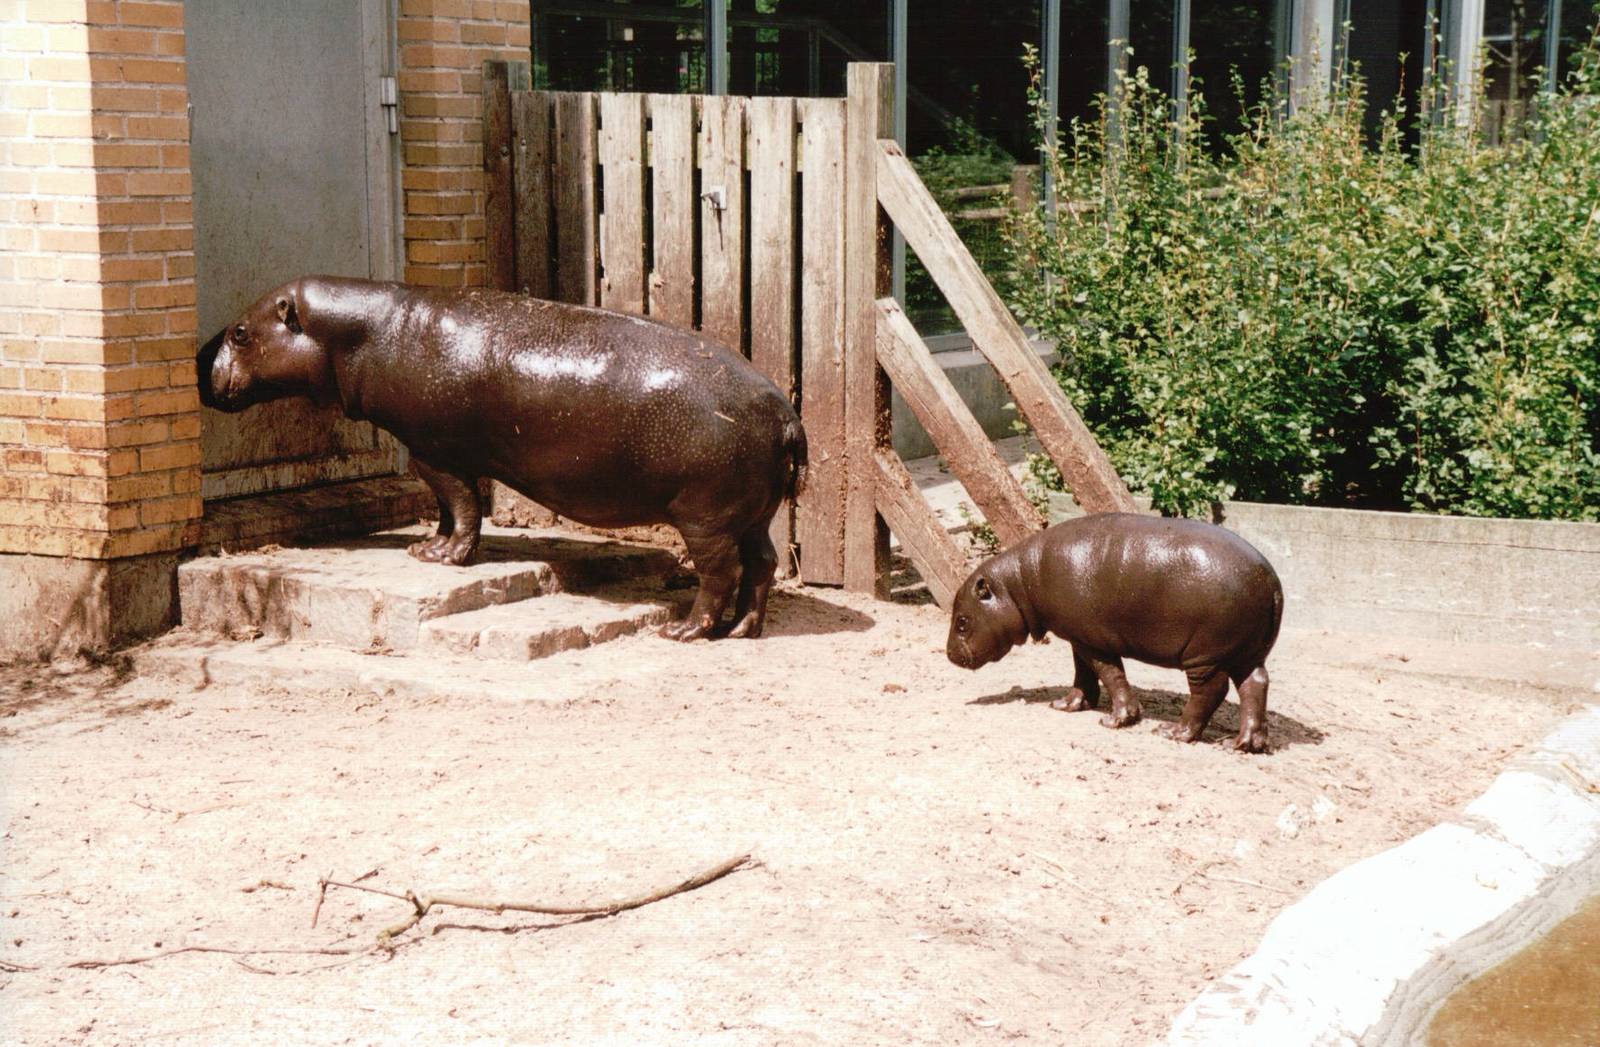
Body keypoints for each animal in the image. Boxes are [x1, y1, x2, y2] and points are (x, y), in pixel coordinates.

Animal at [198, 276, 807, 642]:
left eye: (240, 332)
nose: (202, 368)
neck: (361, 331)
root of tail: (785, 412)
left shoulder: (433, 451)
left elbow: (463, 505)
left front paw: (446, 558)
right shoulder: (437, 453)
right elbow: (450, 511)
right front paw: (427, 550)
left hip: (706, 516)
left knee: (721, 572)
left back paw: (683, 632)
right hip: (752, 513)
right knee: (763, 563)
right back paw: (743, 630)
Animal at [946, 514, 1283, 752]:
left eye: (962, 620)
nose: (949, 654)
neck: (1019, 584)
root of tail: (1271, 581)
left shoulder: (1093, 641)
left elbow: (1109, 673)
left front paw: (1114, 720)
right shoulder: (1078, 636)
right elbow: (1082, 673)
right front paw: (1067, 705)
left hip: (1205, 655)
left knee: (1211, 691)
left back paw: (1173, 733)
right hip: (1246, 653)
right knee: (1255, 685)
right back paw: (1243, 744)